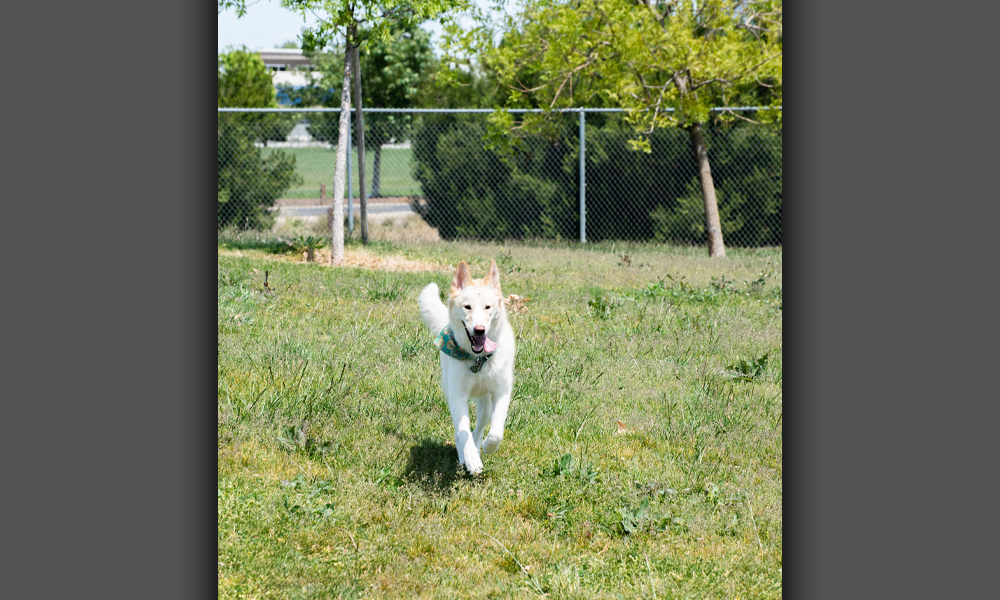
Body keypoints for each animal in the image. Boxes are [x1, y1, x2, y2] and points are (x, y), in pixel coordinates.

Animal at [418, 260, 520, 476]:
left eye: (488, 307)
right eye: (467, 307)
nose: (479, 330)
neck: (478, 360)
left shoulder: (501, 393)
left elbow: (496, 432)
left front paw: (488, 447)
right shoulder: (458, 395)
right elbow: (462, 430)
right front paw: (471, 459)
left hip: (486, 404)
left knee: (480, 427)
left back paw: (478, 444)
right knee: (459, 432)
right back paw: (465, 455)